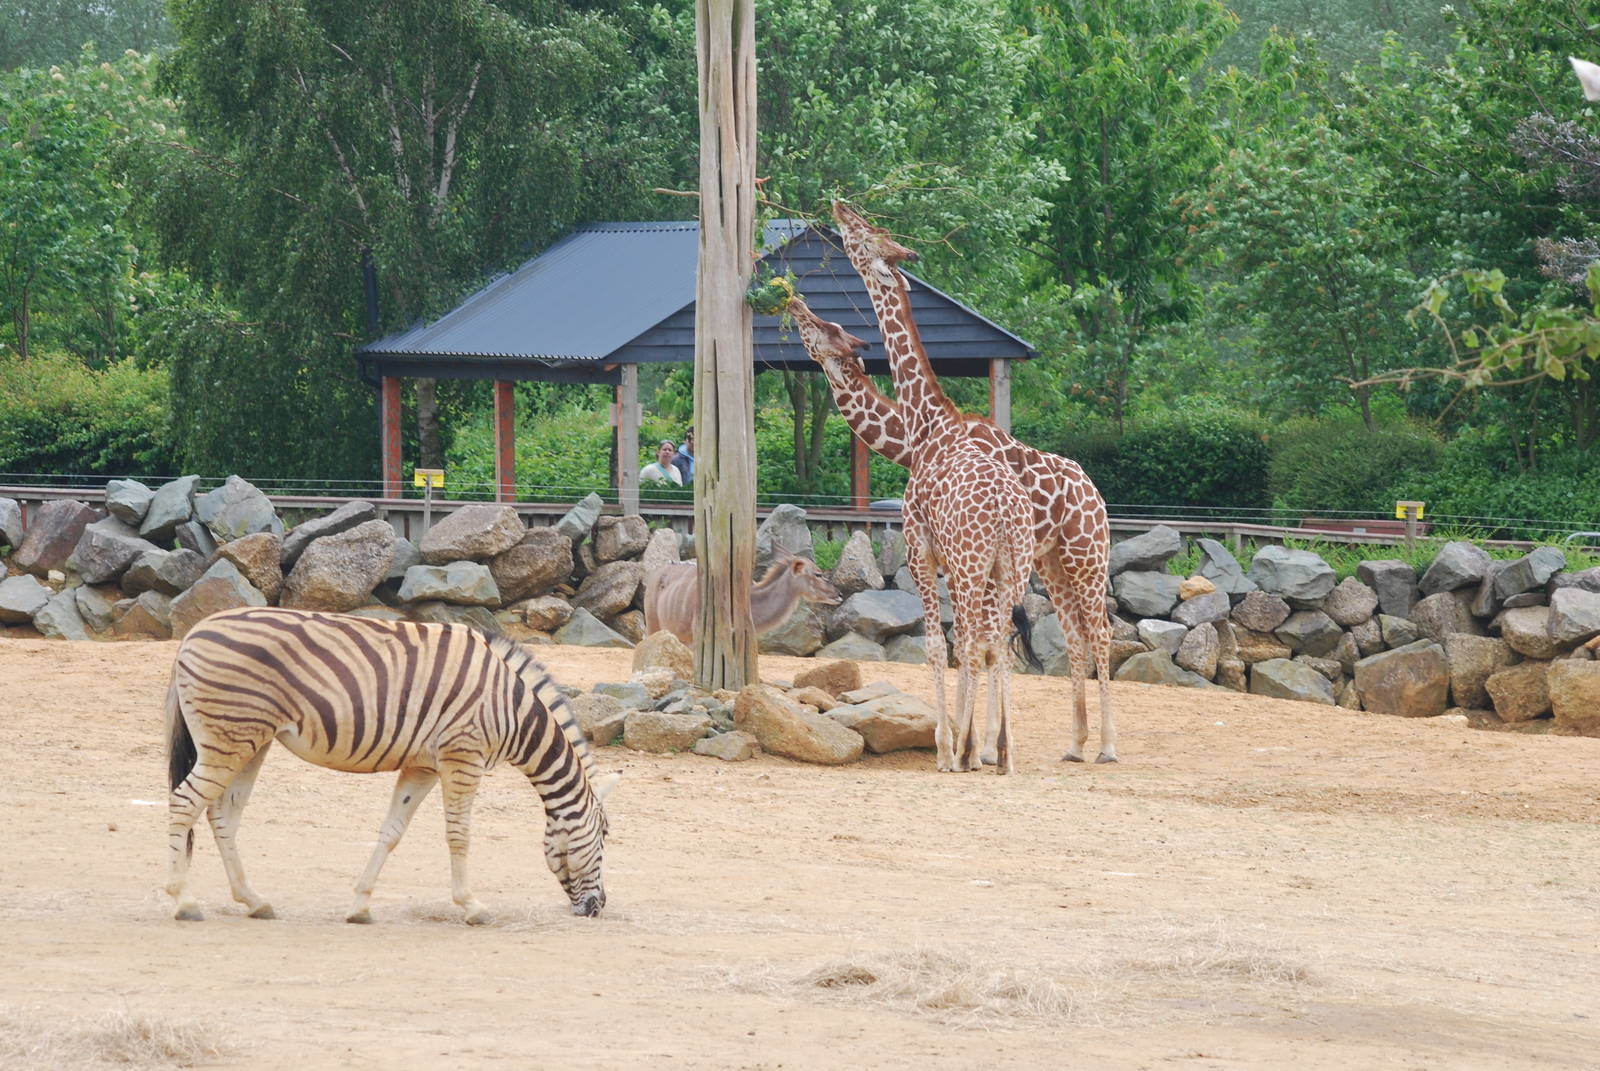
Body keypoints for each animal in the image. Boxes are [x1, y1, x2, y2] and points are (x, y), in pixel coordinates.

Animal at [164, 606, 619, 925]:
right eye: (604, 836)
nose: (598, 908)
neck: (512, 707)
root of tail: (191, 635)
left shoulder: (423, 766)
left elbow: (392, 832)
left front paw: (360, 907)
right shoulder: (462, 756)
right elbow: (459, 836)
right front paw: (472, 906)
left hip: (249, 741)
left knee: (221, 814)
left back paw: (254, 901)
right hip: (230, 738)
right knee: (184, 803)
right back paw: (183, 900)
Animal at [829, 200, 1118, 764]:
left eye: (867, 233)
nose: (840, 207)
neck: (917, 437)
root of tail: (1096, 493)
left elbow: (978, 643)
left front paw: (975, 748)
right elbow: (983, 643)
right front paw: (982, 745)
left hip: (1087, 556)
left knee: (1101, 632)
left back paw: (1107, 747)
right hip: (1053, 563)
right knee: (1074, 635)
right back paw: (1074, 744)